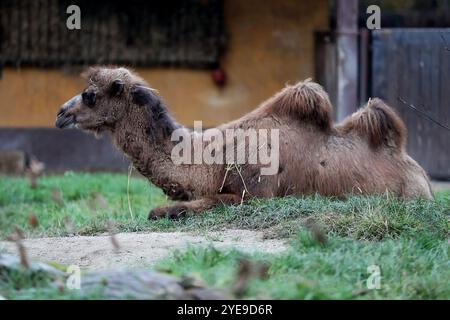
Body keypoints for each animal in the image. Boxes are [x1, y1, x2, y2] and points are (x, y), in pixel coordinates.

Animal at [55, 66, 432, 219]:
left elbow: (186, 207)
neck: (211, 161)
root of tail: (419, 173)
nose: (61, 114)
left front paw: (166, 211)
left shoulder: (257, 195)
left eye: (90, 95)